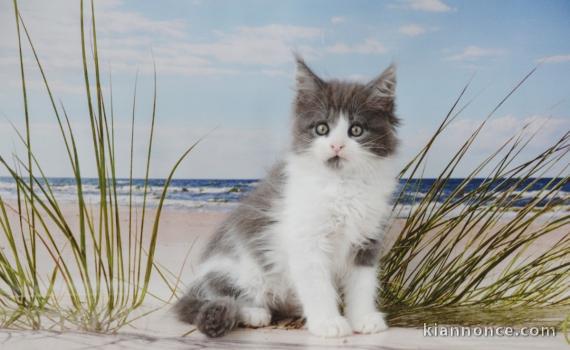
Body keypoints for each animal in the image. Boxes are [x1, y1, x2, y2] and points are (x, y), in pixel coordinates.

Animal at [174, 56, 400, 338]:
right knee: (225, 295)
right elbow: (317, 286)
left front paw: (363, 318)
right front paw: (328, 322)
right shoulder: (306, 241)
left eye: (356, 130)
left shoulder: (366, 240)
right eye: (322, 128)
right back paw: (254, 313)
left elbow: (362, 284)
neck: (341, 186)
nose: (337, 145)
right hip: (241, 270)